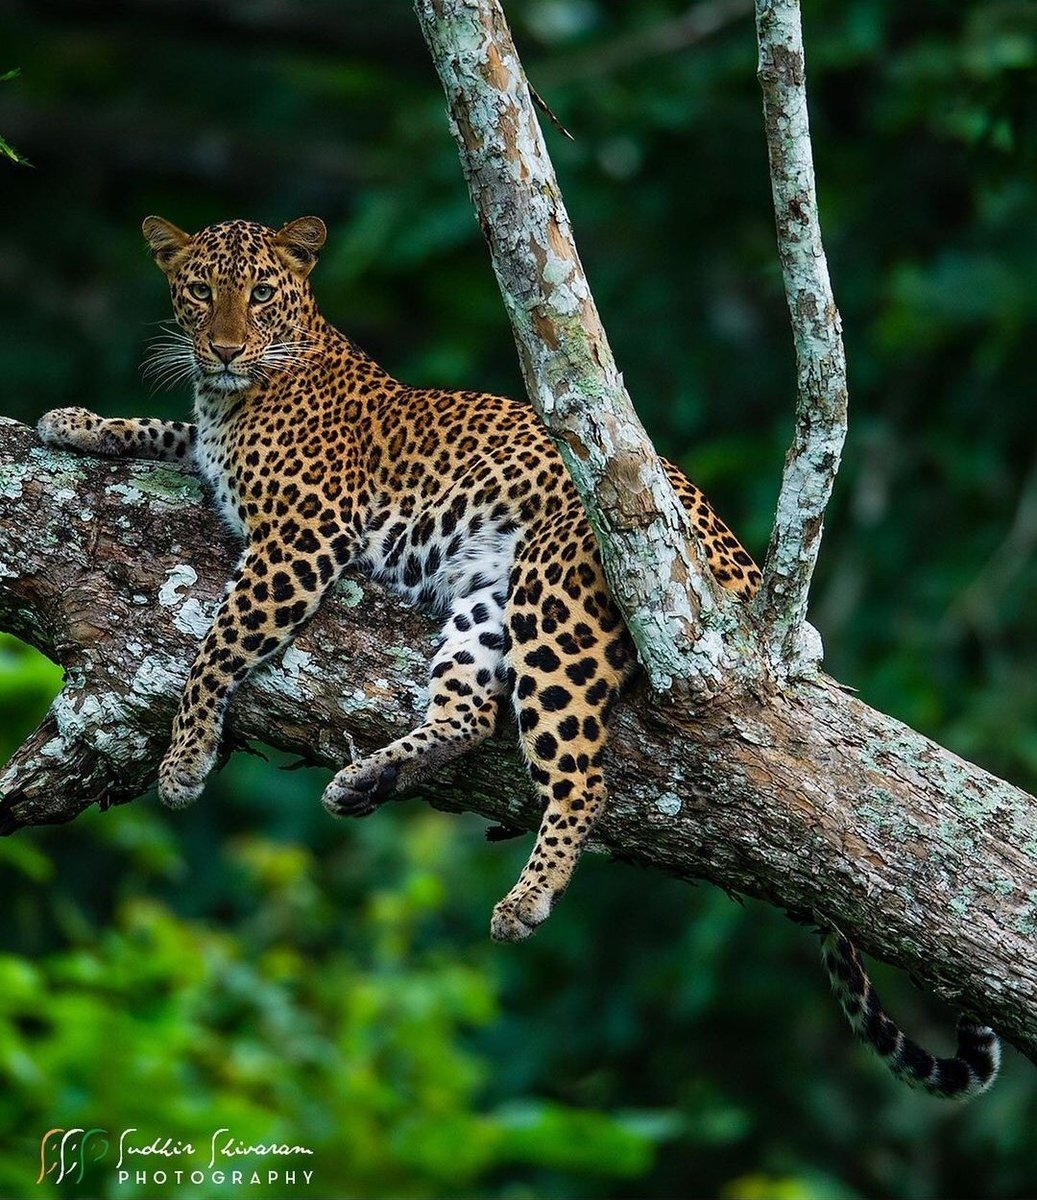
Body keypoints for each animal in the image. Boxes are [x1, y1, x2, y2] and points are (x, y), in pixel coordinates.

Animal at [36, 216, 998, 1099]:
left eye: (262, 293)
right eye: (201, 292)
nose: (227, 347)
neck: (236, 393)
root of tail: (734, 557)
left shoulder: (299, 541)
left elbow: (213, 648)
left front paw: (185, 759)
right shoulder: (213, 455)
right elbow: (161, 429)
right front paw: (74, 420)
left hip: (556, 608)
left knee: (581, 777)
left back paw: (523, 898)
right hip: (487, 608)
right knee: (467, 712)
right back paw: (369, 780)